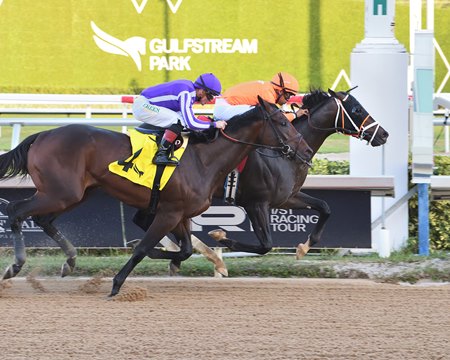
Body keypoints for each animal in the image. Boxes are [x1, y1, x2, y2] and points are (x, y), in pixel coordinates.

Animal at [0, 96, 302, 296]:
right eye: (280, 121)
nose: (302, 148)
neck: (204, 159)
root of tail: (41, 135)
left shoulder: (179, 213)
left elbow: (184, 249)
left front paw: (173, 257)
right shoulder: (169, 213)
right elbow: (144, 248)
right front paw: (116, 284)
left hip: (75, 193)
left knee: (43, 220)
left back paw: (69, 261)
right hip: (60, 192)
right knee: (15, 211)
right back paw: (15, 266)